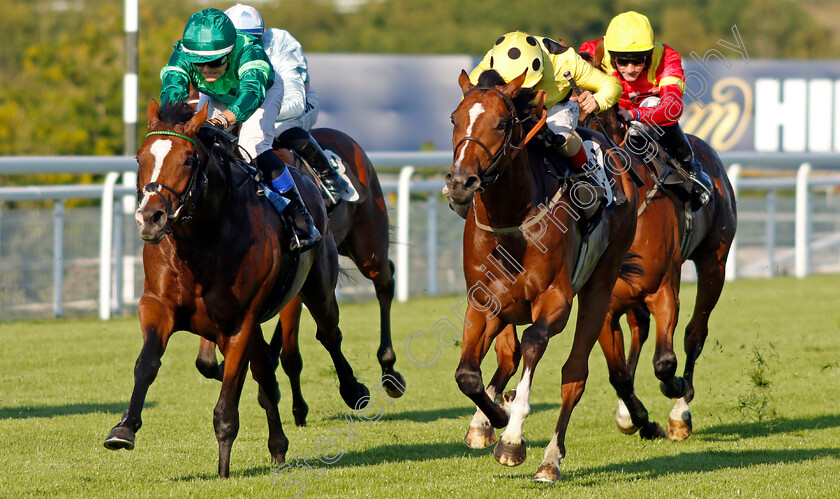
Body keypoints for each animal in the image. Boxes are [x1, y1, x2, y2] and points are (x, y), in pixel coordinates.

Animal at [101, 99, 368, 478]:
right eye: (140, 158)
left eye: (188, 158)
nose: (150, 218)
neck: (201, 242)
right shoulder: (157, 305)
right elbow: (147, 364)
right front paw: (124, 429)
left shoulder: (239, 323)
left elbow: (228, 399)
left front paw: (223, 469)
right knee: (266, 374)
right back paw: (278, 446)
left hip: (317, 287)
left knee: (329, 335)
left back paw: (354, 391)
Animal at [196, 127, 406, 428]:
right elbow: (207, 362)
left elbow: (291, 356)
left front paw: (298, 408)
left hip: (368, 245)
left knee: (385, 282)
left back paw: (389, 370)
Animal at [450, 68, 640, 482]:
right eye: (454, 119)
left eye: (501, 123)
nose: (460, 183)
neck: (511, 222)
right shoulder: (482, 303)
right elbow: (467, 373)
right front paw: (492, 417)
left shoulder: (555, 300)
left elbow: (534, 343)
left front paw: (511, 436)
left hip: (601, 285)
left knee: (575, 374)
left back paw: (550, 460)